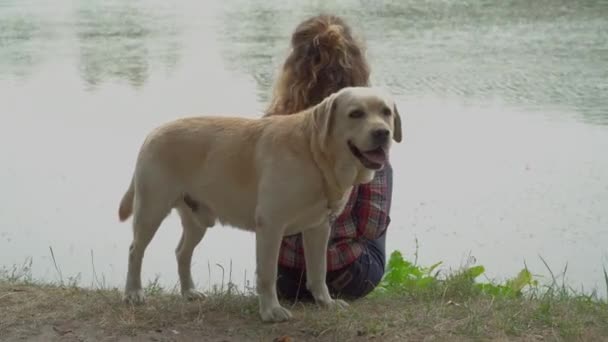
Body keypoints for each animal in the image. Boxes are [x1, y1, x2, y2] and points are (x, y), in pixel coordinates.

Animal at [119, 85, 404, 320]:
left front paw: (326, 302)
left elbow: (319, 271)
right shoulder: (271, 225)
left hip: (197, 220)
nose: (383, 132)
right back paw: (133, 293)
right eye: (355, 114)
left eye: (386, 112)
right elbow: (267, 274)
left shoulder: (319, 228)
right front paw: (271, 311)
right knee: (135, 250)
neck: (315, 154)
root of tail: (153, 132)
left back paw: (189, 292)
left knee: (181, 253)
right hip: (151, 209)